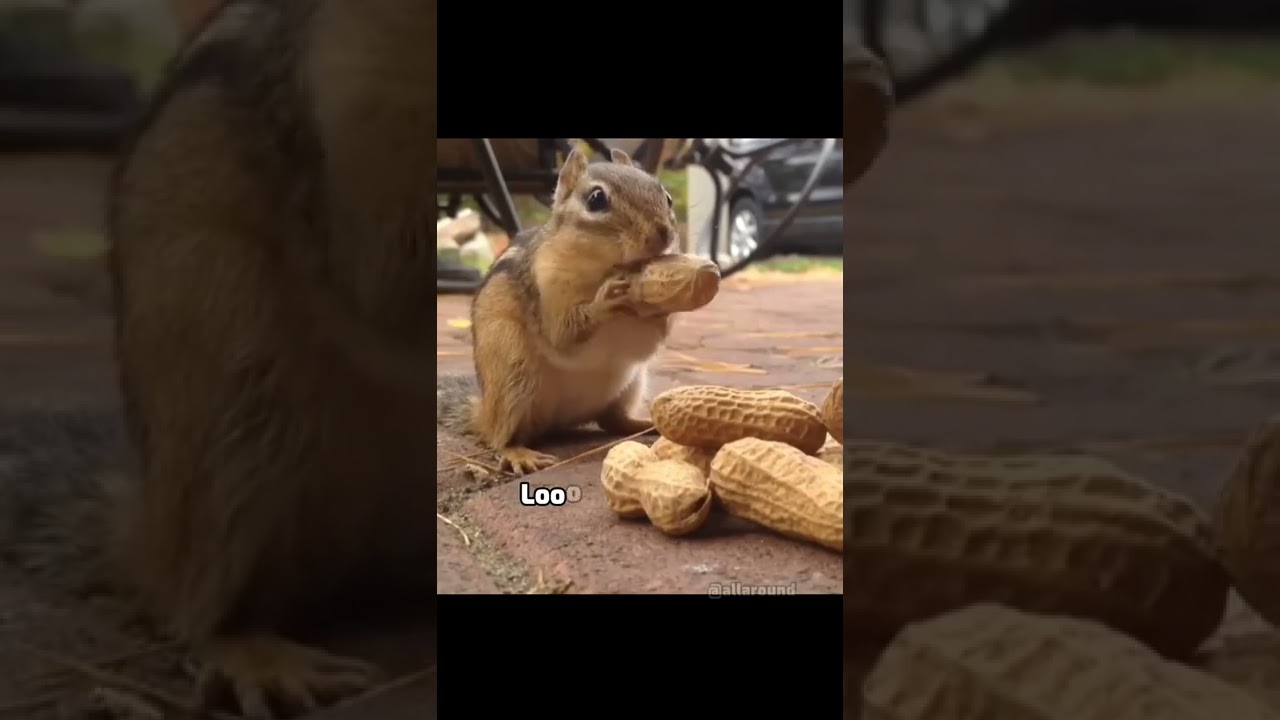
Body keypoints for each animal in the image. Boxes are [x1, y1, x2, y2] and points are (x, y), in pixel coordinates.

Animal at [1, 0, 435, 717]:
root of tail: (150, 529)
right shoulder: (354, 99)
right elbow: (382, 262)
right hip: (234, 392)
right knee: (199, 609)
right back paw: (257, 657)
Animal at [437, 145, 677, 475]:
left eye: (666, 197)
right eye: (596, 199)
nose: (663, 234)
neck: (604, 270)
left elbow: (646, 342)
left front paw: (664, 309)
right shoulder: (546, 288)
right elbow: (562, 336)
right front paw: (603, 302)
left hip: (631, 383)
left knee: (612, 420)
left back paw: (643, 422)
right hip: (512, 374)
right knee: (500, 438)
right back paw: (518, 453)